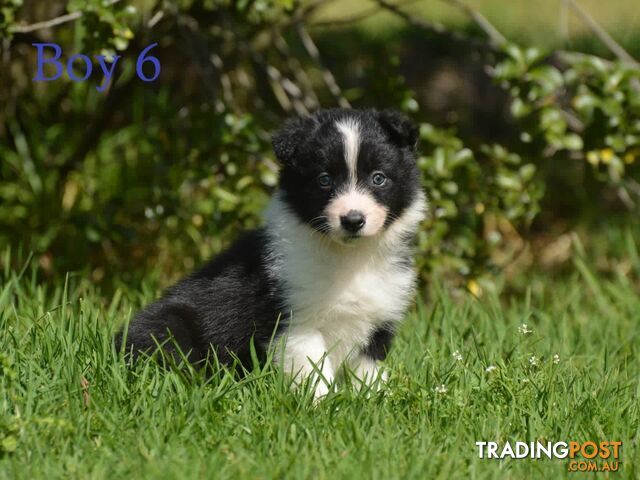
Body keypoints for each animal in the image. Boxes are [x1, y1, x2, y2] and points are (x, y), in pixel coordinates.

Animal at [119, 109, 428, 398]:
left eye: (378, 178)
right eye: (324, 179)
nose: (353, 220)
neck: (349, 257)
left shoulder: (378, 319)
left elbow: (367, 372)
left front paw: (374, 399)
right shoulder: (296, 321)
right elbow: (313, 370)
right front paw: (322, 405)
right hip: (169, 324)